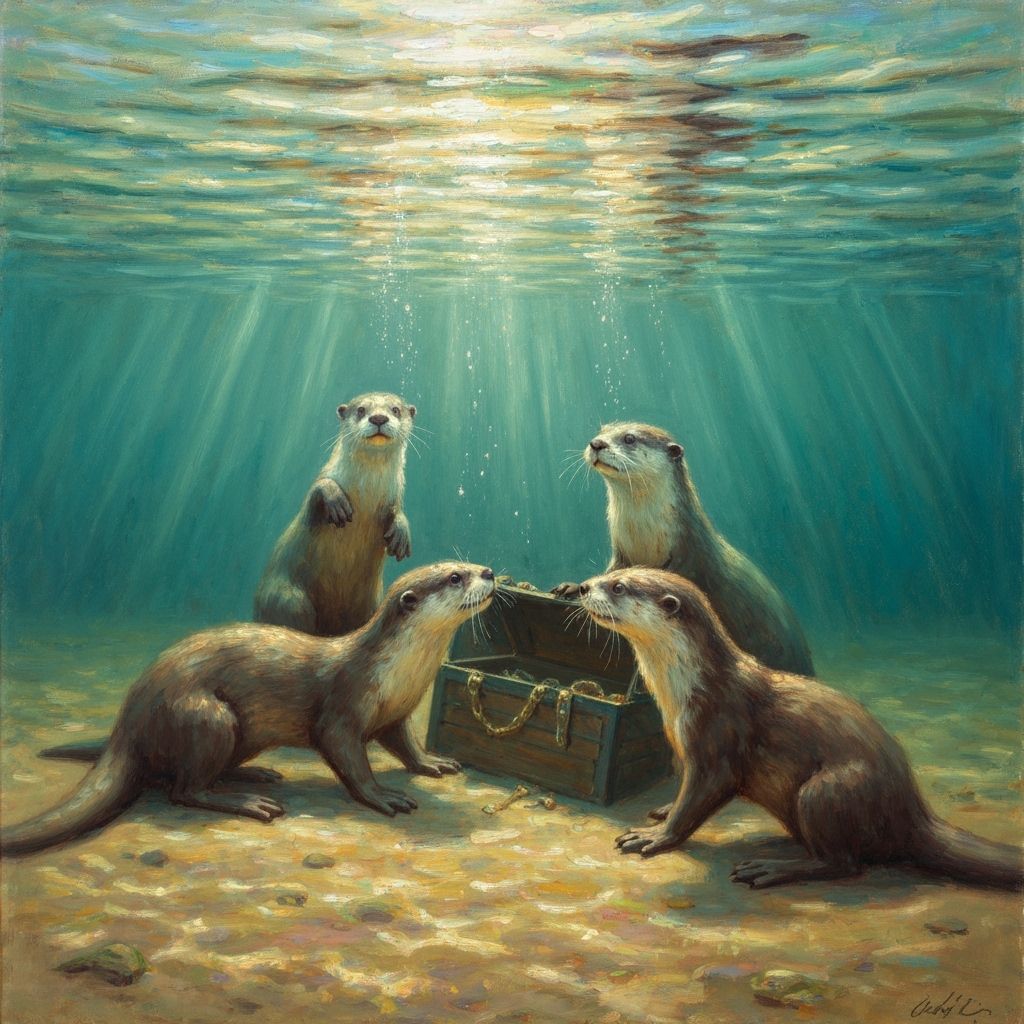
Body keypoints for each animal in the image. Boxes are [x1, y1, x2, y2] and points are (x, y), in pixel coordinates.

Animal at [1, 562, 495, 856]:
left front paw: (432, 762)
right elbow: (348, 758)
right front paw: (383, 796)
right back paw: (249, 802)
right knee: (183, 790)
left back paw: (257, 774)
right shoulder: (344, 706)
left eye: (469, 564)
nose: (488, 571)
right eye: (455, 576)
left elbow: (406, 745)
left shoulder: (395, 713)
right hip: (206, 715)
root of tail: (129, 721)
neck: (397, 673)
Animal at [254, 392, 416, 636]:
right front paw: (336, 499)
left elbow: (397, 512)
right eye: (361, 410)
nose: (378, 418)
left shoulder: (393, 499)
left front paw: (401, 530)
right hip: (288, 598)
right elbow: (317, 491)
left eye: (395, 410)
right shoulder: (319, 489)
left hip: (372, 603)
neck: (366, 492)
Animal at [553, 423, 813, 677]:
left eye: (629, 438)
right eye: (602, 430)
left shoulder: (689, 557)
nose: (596, 443)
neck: (646, 538)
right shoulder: (622, 554)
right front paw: (573, 587)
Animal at [578, 567, 1021, 891]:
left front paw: (654, 836)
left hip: (830, 790)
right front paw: (664, 809)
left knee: (845, 863)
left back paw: (770, 869)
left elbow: (700, 799)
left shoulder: (720, 737)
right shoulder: (684, 749)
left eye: (618, 586)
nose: (582, 586)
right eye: (611, 572)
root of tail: (911, 810)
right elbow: (684, 793)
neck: (687, 689)